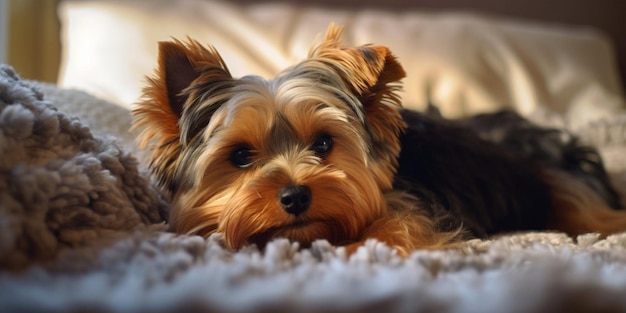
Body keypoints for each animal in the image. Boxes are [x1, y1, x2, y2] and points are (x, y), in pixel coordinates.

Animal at [132, 25, 624, 255]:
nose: (295, 196)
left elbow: (388, 234)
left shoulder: (410, 214)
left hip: (556, 183)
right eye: (239, 156)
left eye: (324, 144)